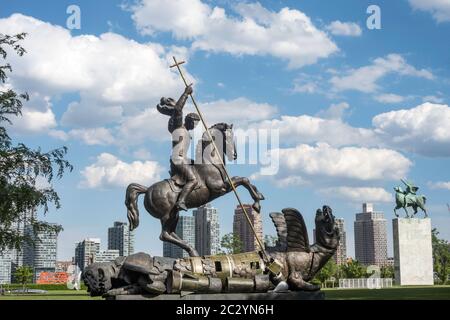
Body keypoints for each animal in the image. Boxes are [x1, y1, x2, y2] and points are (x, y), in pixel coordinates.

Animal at [124, 124, 264, 256]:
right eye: (228, 137)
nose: (234, 155)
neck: (210, 162)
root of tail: (148, 190)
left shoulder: (225, 184)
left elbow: (243, 179)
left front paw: (259, 198)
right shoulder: (220, 187)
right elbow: (242, 180)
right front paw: (257, 204)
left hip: (174, 214)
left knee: (170, 232)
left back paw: (192, 251)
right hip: (166, 215)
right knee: (164, 235)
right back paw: (192, 251)